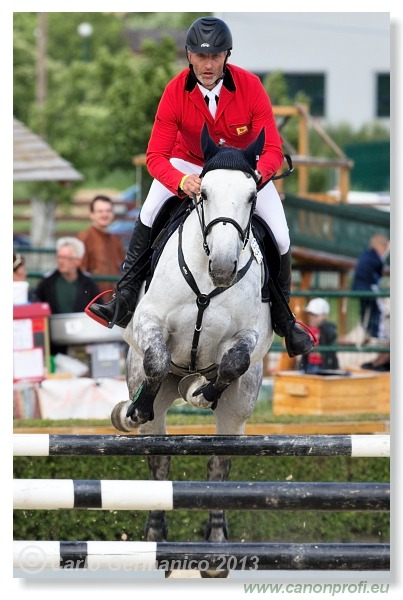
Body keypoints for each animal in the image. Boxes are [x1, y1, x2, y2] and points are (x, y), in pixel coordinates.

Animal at [112, 126, 274, 576]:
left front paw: (204, 390)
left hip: (237, 413)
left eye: (252, 196)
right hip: (156, 400)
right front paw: (138, 407)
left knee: (219, 465)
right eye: (204, 192)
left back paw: (216, 545)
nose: (223, 266)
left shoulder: (250, 335)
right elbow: (155, 359)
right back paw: (155, 534)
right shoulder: (150, 323)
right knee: (159, 460)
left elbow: (235, 359)